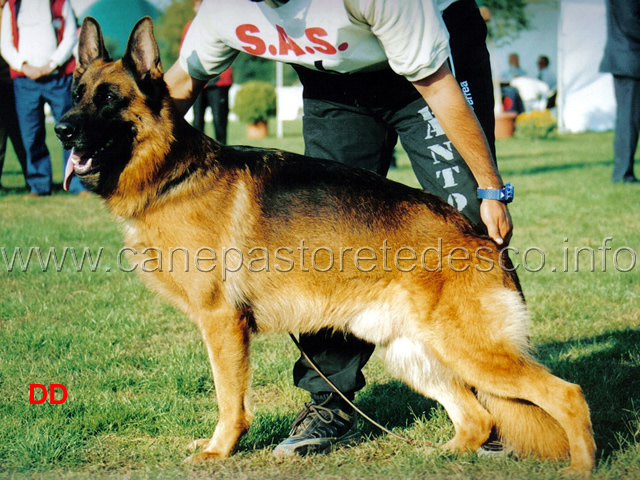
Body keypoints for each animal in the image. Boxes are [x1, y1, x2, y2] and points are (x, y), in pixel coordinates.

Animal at [57, 16, 596, 474]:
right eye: (76, 93)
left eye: (109, 98)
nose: (61, 128)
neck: (173, 174)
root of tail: (480, 234)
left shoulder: (222, 324)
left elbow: (229, 399)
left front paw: (218, 450)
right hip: (416, 355)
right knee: (477, 418)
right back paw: (439, 455)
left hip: (470, 351)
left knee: (566, 394)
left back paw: (581, 466)